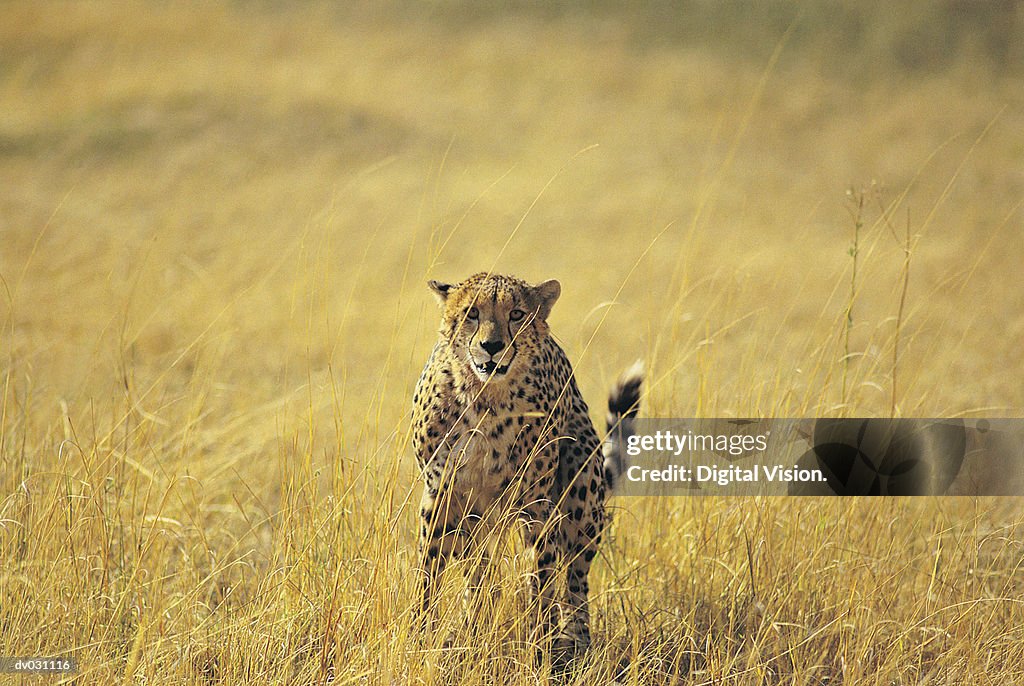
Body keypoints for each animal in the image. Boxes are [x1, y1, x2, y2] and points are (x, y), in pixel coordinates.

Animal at [409, 272, 638, 667]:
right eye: (470, 313)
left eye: (516, 314)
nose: (492, 345)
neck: (485, 397)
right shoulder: (440, 495)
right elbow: (429, 575)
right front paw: (421, 638)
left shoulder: (536, 505)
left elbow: (540, 582)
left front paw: (540, 651)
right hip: (475, 519)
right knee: (480, 572)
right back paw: (470, 627)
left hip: (581, 492)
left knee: (575, 580)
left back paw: (575, 643)